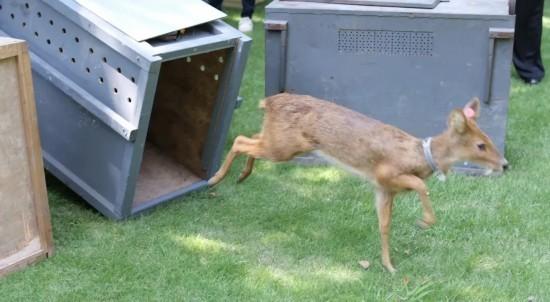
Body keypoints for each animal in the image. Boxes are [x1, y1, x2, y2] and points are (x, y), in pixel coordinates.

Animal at [209, 93, 512, 272]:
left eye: (488, 139)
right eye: (481, 145)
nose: (505, 164)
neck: (420, 156)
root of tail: (268, 101)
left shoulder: (384, 190)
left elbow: (384, 225)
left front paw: (389, 266)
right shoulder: (386, 174)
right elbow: (421, 186)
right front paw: (425, 222)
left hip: (281, 143)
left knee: (250, 139)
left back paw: (242, 175)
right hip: (284, 147)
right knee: (241, 140)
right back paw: (215, 178)